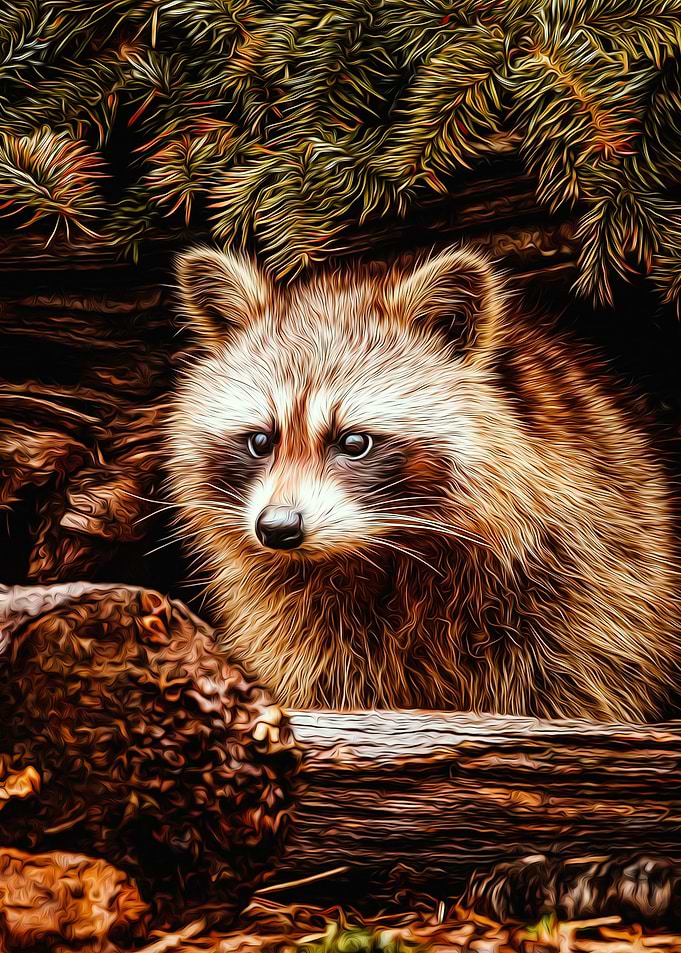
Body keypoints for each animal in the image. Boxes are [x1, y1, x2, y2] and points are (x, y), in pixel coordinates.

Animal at [165, 245, 680, 722]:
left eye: (354, 442)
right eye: (260, 440)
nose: (278, 527)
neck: (380, 552)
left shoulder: (588, 582)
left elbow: (576, 676)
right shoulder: (296, 619)